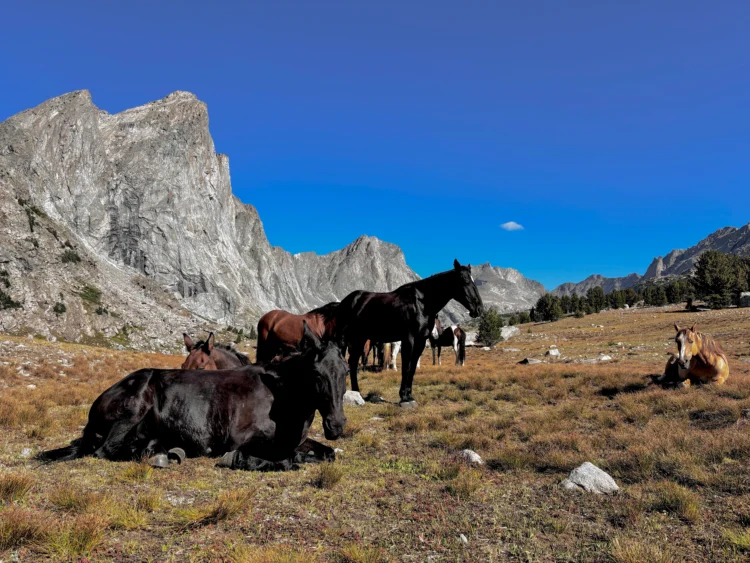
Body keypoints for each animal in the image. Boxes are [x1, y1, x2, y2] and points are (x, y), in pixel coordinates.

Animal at [37, 322, 348, 471]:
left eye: (345, 371)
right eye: (316, 374)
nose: (336, 425)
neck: (281, 396)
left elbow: (327, 453)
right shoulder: (247, 441)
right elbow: (282, 460)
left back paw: (165, 450)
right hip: (132, 411)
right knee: (106, 450)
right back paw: (159, 455)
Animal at [334, 259, 483, 403]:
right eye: (465, 280)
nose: (479, 309)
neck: (421, 303)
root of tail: (346, 301)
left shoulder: (420, 341)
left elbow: (412, 367)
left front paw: (409, 395)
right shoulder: (408, 339)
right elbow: (406, 367)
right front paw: (403, 397)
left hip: (361, 339)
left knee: (353, 362)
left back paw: (356, 392)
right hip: (350, 339)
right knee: (349, 362)